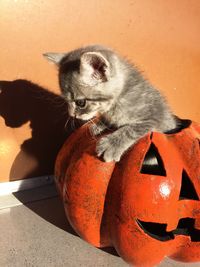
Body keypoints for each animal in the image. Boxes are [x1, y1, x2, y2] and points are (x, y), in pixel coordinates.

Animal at [43, 45, 177, 162]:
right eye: (66, 101)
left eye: (80, 103)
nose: (72, 115)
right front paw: (99, 125)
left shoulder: (155, 116)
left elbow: (132, 129)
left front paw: (112, 145)